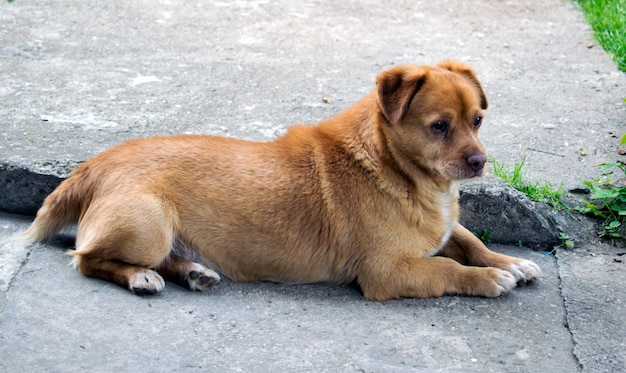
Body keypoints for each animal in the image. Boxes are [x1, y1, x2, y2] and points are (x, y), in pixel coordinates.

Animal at [22, 60, 540, 300]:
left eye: (477, 121)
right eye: (439, 127)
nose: (479, 162)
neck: (396, 167)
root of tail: (94, 164)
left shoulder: (443, 230)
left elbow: (468, 240)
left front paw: (510, 261)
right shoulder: (388, 272)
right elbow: (448, 267)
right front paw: (489, 277)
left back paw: (192, 272)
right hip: (149, 225)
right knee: (86, 258)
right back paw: (141, 277)